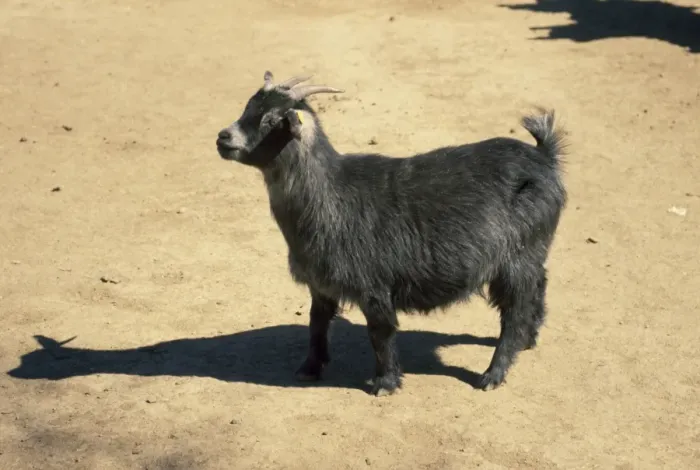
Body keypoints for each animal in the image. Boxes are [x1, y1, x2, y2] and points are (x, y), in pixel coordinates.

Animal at [215, 71, 567, 397]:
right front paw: (310, 368)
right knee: (538, 286)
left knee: (514, 313)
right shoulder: (321, 284)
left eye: (272, 120)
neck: (330, 195)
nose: (223, 137)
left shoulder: (374, 285)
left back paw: (492, 375)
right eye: (248, 106)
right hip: (533, 251)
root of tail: (544, 157)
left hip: (516, 257)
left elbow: (380, 332)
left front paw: (385, 382)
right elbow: (316, 324)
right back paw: (529, 339)